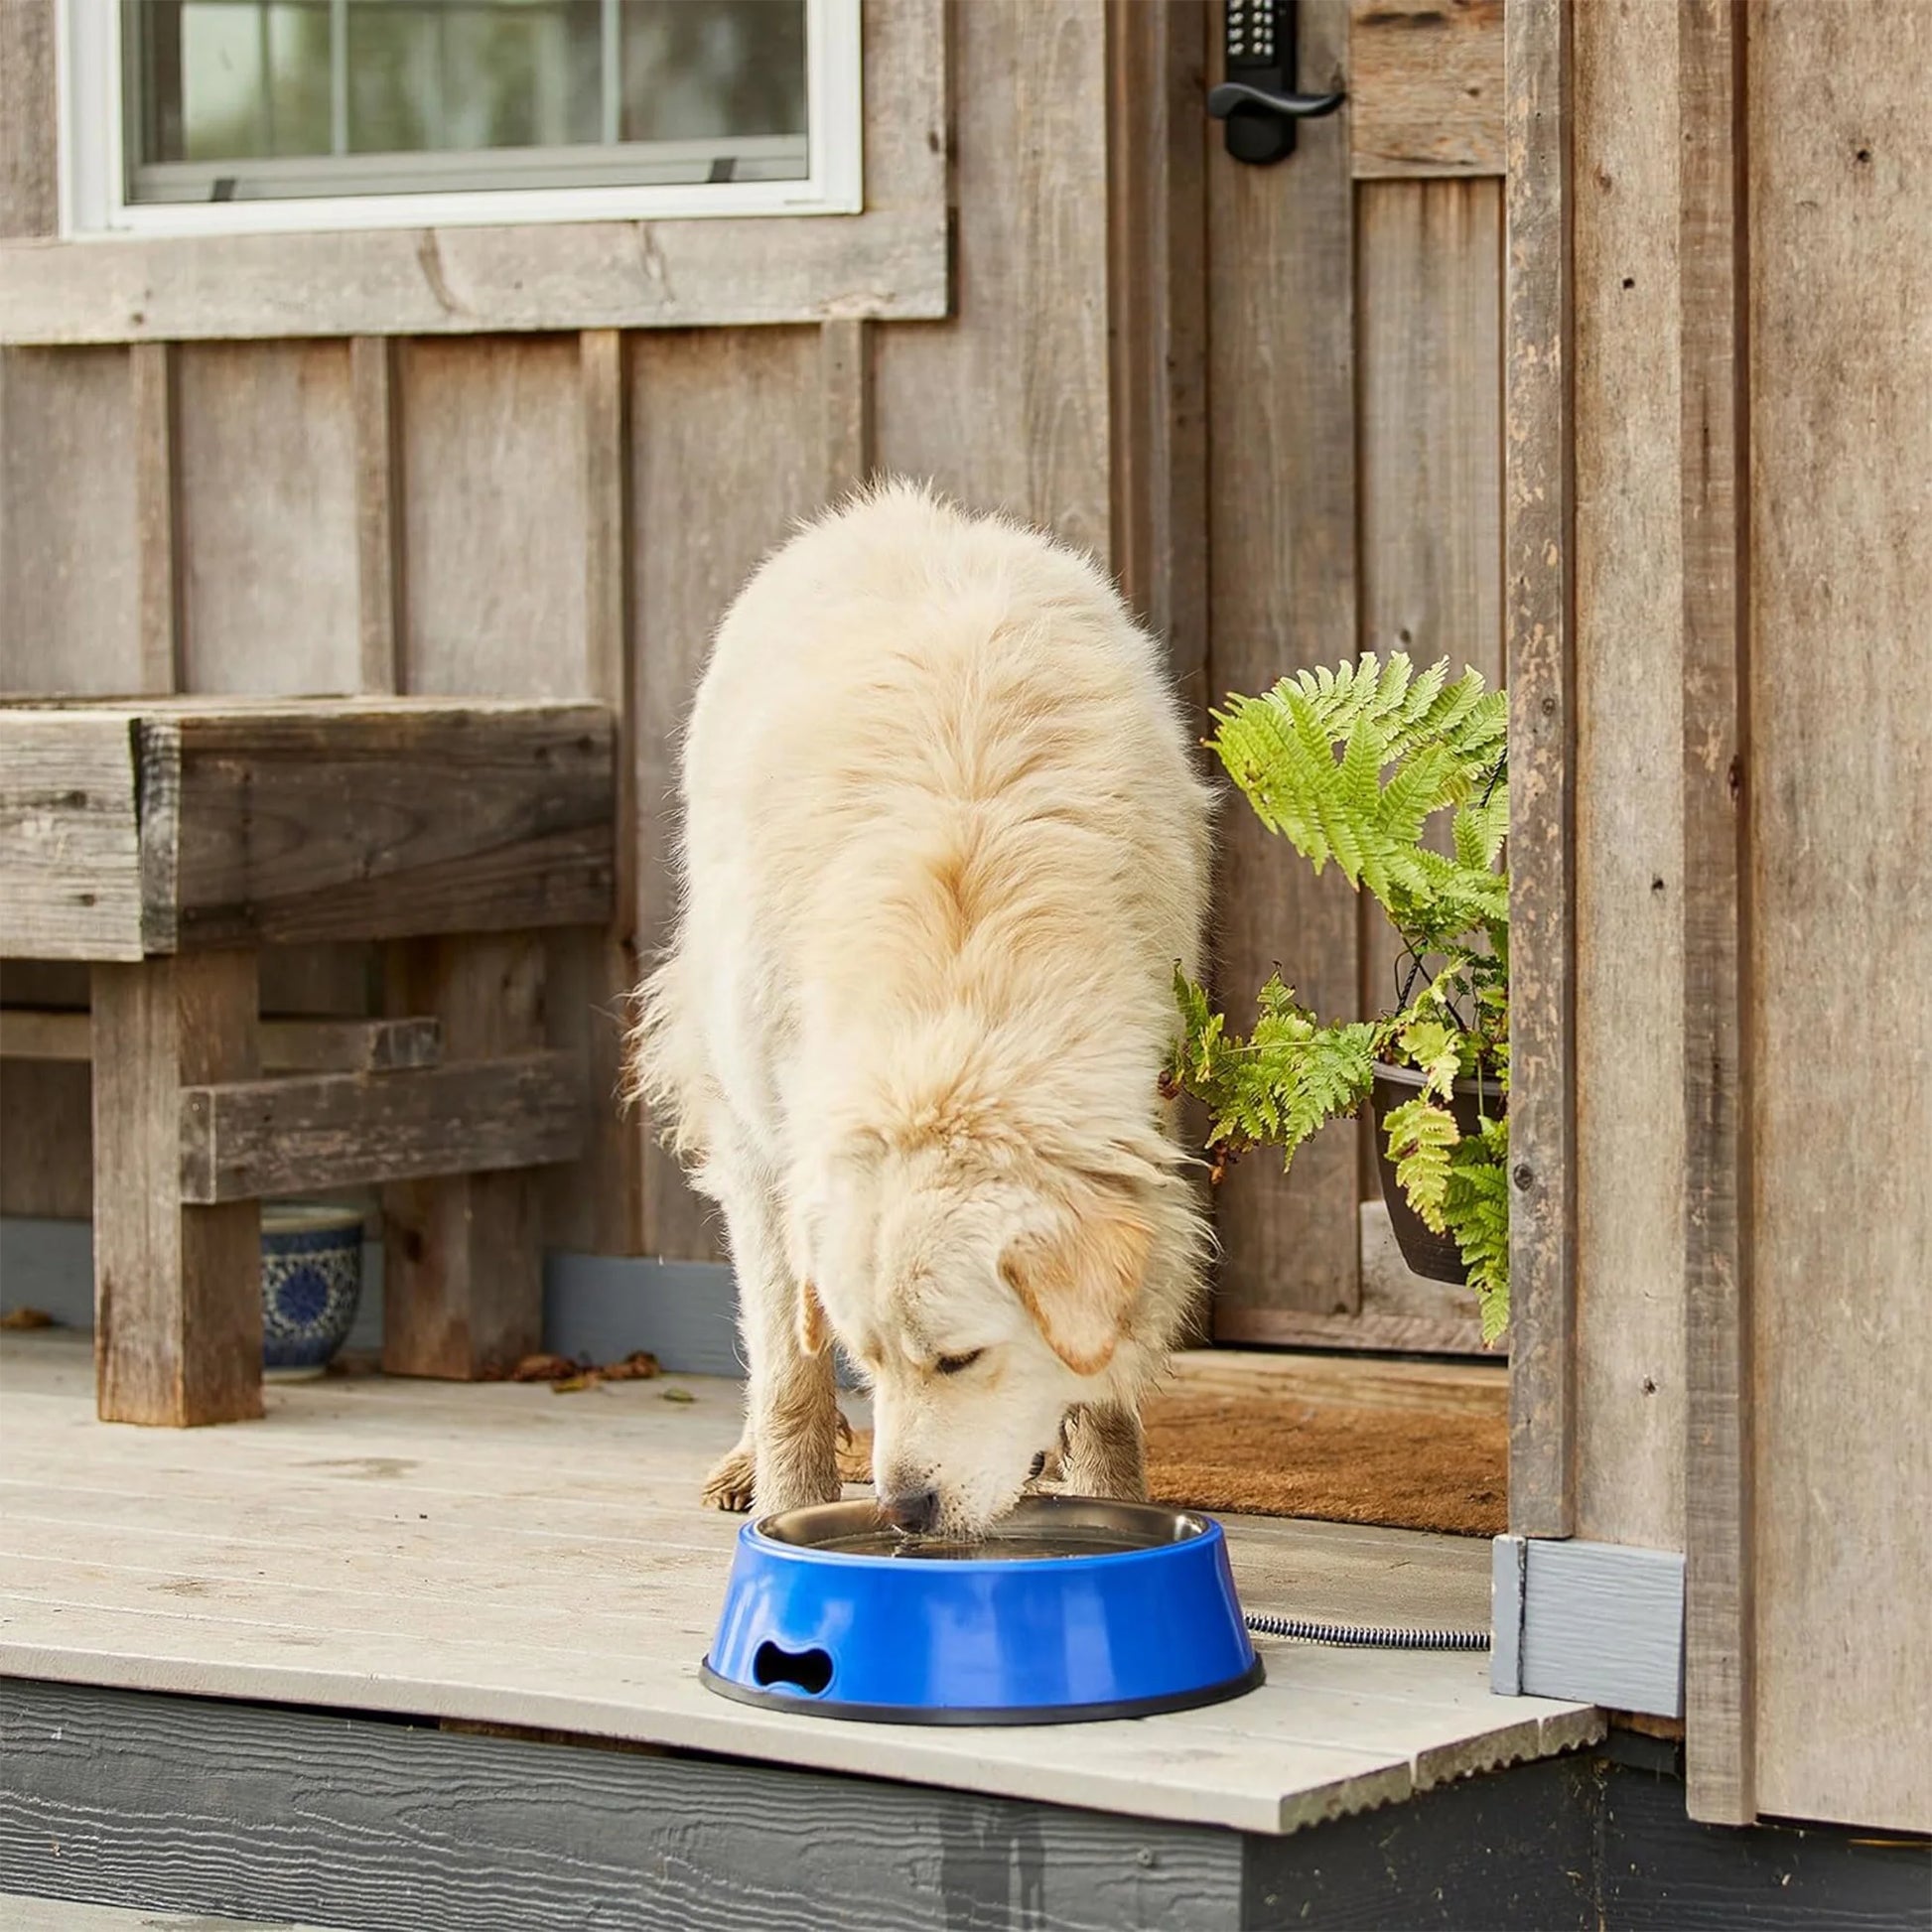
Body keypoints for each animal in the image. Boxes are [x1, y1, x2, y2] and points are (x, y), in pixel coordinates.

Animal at [633, 483, 1205, 1538]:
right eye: (871, 1356)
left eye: (959, 1359)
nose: (902, 1512)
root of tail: (892, 508)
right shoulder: (771, 1162)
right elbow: (790, 1370)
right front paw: (789, 1511)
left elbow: (1104, 1392)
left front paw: (1112, 1497)